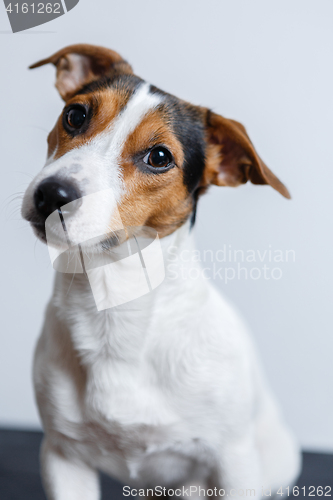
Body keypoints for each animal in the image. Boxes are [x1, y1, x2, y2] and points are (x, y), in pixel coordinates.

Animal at [21, 45, 300, 498]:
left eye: (159, 157)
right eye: (75, 115)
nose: (52, 194)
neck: (115, 308)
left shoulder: (233, 462)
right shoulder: (63, 456)